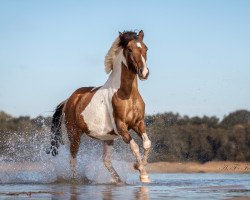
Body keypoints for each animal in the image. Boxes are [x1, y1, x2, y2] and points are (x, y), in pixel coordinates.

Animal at [47, 28, 151, 184]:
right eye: (129, 49)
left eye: (146, 48)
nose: (144, 73)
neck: (126, 94)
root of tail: (69, 100)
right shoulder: (121, 127)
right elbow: (135, 147)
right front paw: (141, 173)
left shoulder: (138, 123)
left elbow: (146, 143)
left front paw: (140, 170)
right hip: (74, 135)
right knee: (73, 160)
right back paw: (75, 180)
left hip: (107, 139)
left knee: (106, 161)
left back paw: (119, 181)